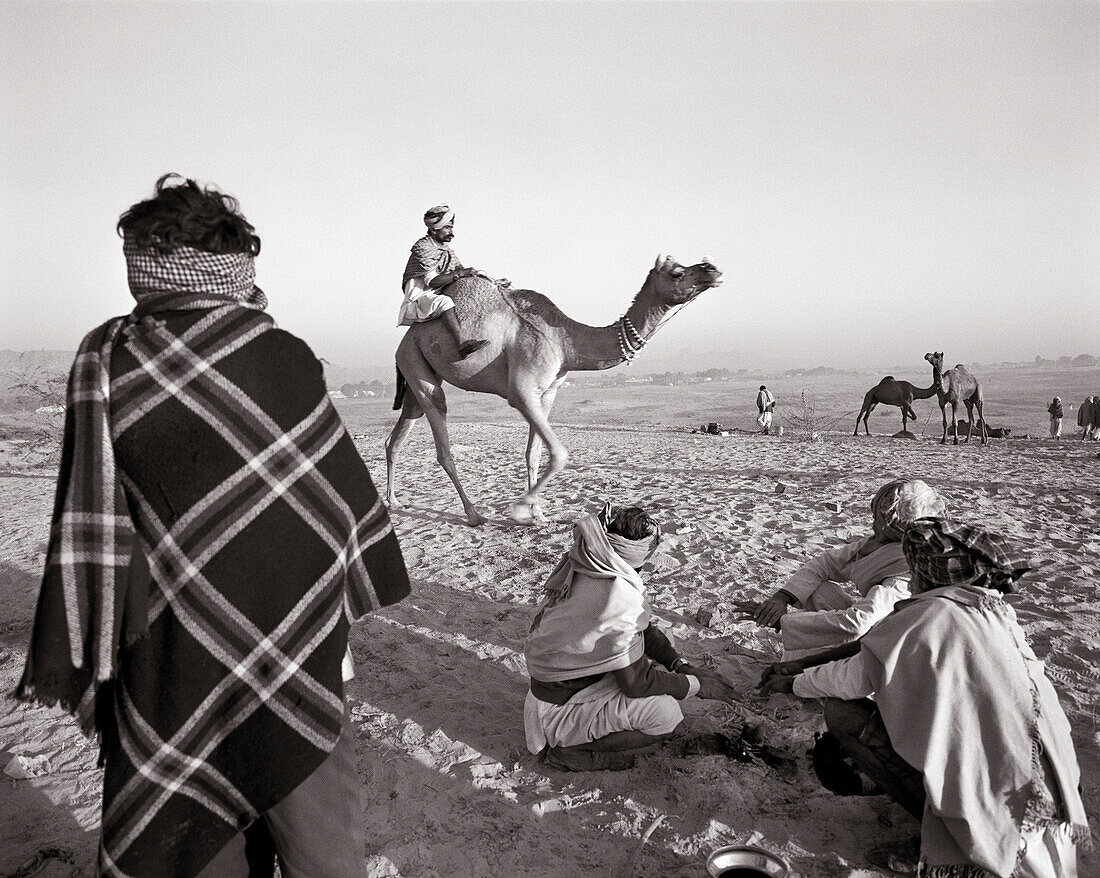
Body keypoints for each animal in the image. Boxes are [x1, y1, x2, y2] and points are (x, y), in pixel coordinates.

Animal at [385, 257, 721, 525]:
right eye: (677, 273)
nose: (712, 269)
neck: (564, 340)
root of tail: (403, 341)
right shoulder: (521, 392)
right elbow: (559, 454)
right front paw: (521, 509)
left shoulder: (547, 392)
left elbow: (533, 453)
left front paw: (539, 514)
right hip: (416, 362)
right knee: (442, 440)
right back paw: (472, 514)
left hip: (416, 376)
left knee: (397, 436)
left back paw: (394, 501)